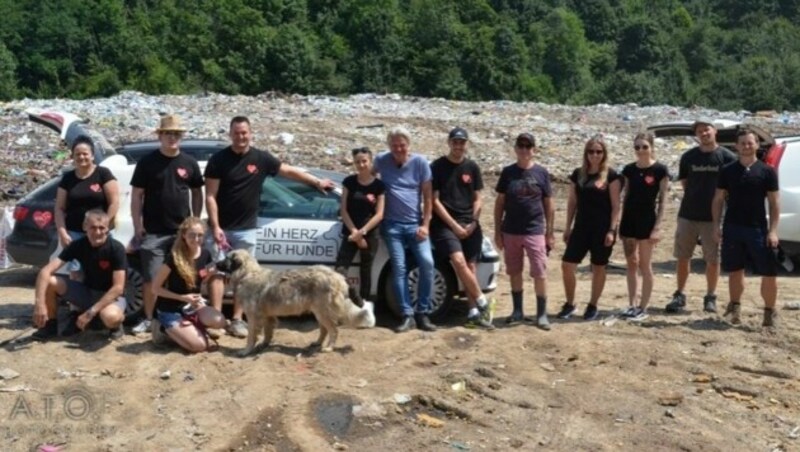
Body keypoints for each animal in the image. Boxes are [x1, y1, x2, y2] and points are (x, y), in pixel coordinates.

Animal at [216, 249, 378, 354]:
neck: (248, 273)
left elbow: (251, 336)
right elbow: (268, 333)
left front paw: (246, 351)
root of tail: (339, 276)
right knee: (324, 329)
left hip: (322, 311)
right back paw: (317, 343)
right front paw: (263, 345)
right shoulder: (268, 316)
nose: (215, 263)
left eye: (226, 258)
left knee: (333, 330)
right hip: (319, 311)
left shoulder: (254, 317)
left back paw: (329, 347)